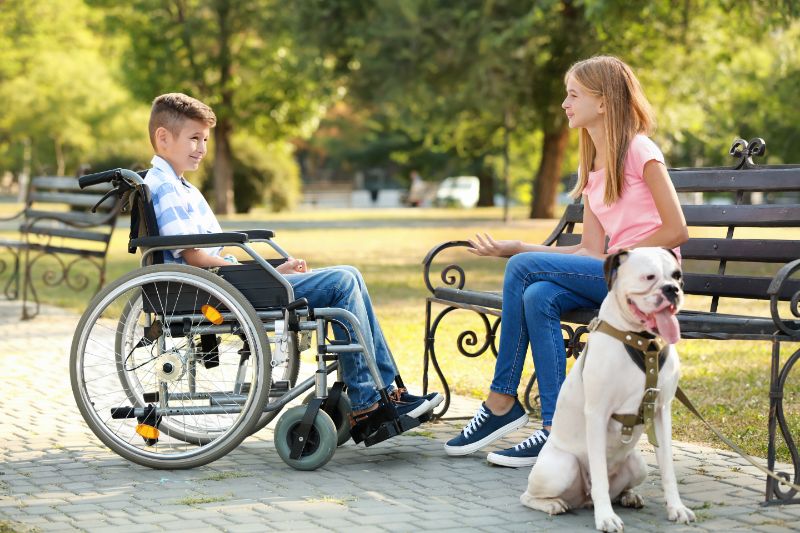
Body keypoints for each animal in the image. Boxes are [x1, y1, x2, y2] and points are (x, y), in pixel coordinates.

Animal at [520, 248, 696, 532]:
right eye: (649, 277)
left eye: (677, 276)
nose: (672, 290)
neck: (643, 344)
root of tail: (583, 499)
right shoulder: (597, 413)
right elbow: (600, 475)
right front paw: (605, 517)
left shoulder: (660, 411)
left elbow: (668, 469)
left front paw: (676, 508)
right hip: (563, 466)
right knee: (529, 495)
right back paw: (554, 504)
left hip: (638, 464)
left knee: (618, 487)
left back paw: (628, 496)